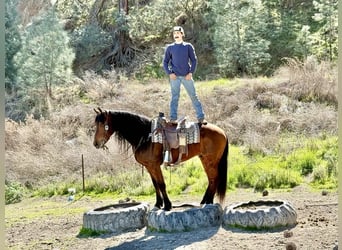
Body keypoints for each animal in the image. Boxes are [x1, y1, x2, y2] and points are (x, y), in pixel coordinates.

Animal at [92, 108, 228, 211]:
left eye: (103, 124)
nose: (96, 143)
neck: (145, 135)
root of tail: (222, 131)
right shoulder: (149, 167)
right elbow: (155, 184)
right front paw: (158, 204)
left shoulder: (155, 165)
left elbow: (161, 184)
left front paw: (167, 205)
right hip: (204, 159)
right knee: (211, 179)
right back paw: (205, 200)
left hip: (211, 161)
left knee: (214, 178)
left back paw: (208, 201)